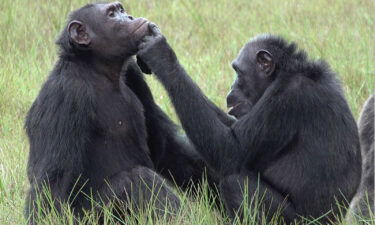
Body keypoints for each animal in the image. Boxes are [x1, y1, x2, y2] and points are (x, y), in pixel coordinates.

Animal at [24, 2, 212, 224]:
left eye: (121, 10)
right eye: (112, 14)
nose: (129, 17)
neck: (98, 69)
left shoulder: (133, 73)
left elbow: (165, 145)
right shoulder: (65, 94)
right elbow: (53, 180)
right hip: (90, 217)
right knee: (137, 179)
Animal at [137, 25, 364, 223]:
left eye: (238, 71)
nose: (231, 87)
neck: (283, 73)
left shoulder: (287, 99)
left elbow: (230, 149)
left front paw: (161, 55)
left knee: (234, 183)